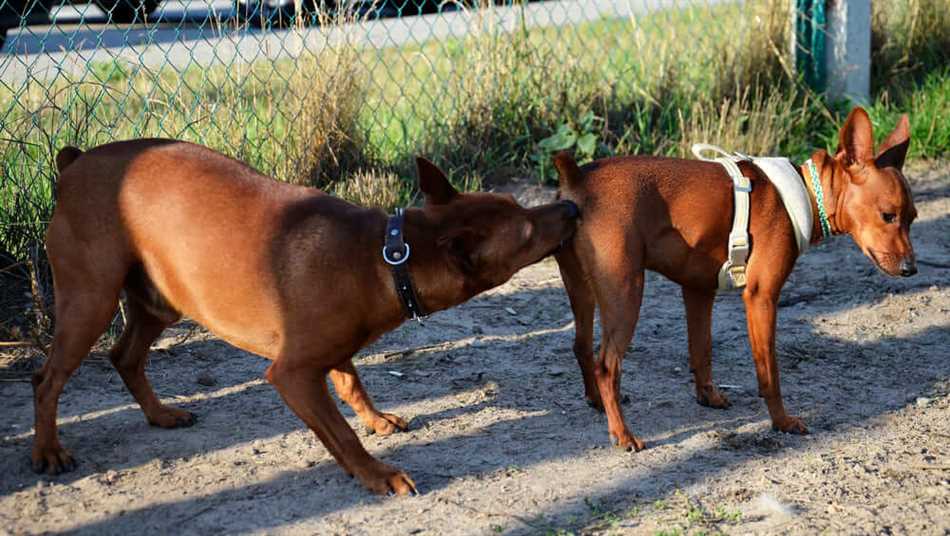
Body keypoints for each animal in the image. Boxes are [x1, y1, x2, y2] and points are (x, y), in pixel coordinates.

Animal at [31, 138, 580, 494]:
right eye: (526, 233)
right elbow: (339, 433)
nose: (573, 210)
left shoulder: (333, 352)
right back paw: (48, 452)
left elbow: (353, 385)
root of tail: (74, 164)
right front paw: (376, 474)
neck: (388, 256)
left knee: (125, 357)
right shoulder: (292, 374)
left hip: (158, 302)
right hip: (91, 300)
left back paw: (161, 414)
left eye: (515, 203)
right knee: (47, 379)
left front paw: (376, 419)